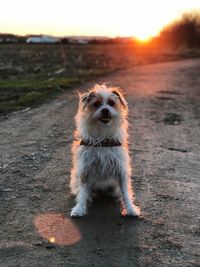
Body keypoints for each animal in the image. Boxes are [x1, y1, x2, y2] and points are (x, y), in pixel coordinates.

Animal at [70, 85, 141, 219]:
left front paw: (130, 209)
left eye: (111, 103)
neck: (103, 138)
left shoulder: (120, 169)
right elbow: (83, 192)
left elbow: (125, 191)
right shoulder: (85, 169)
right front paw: (79, 209)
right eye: (96, 104)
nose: (105, 110)